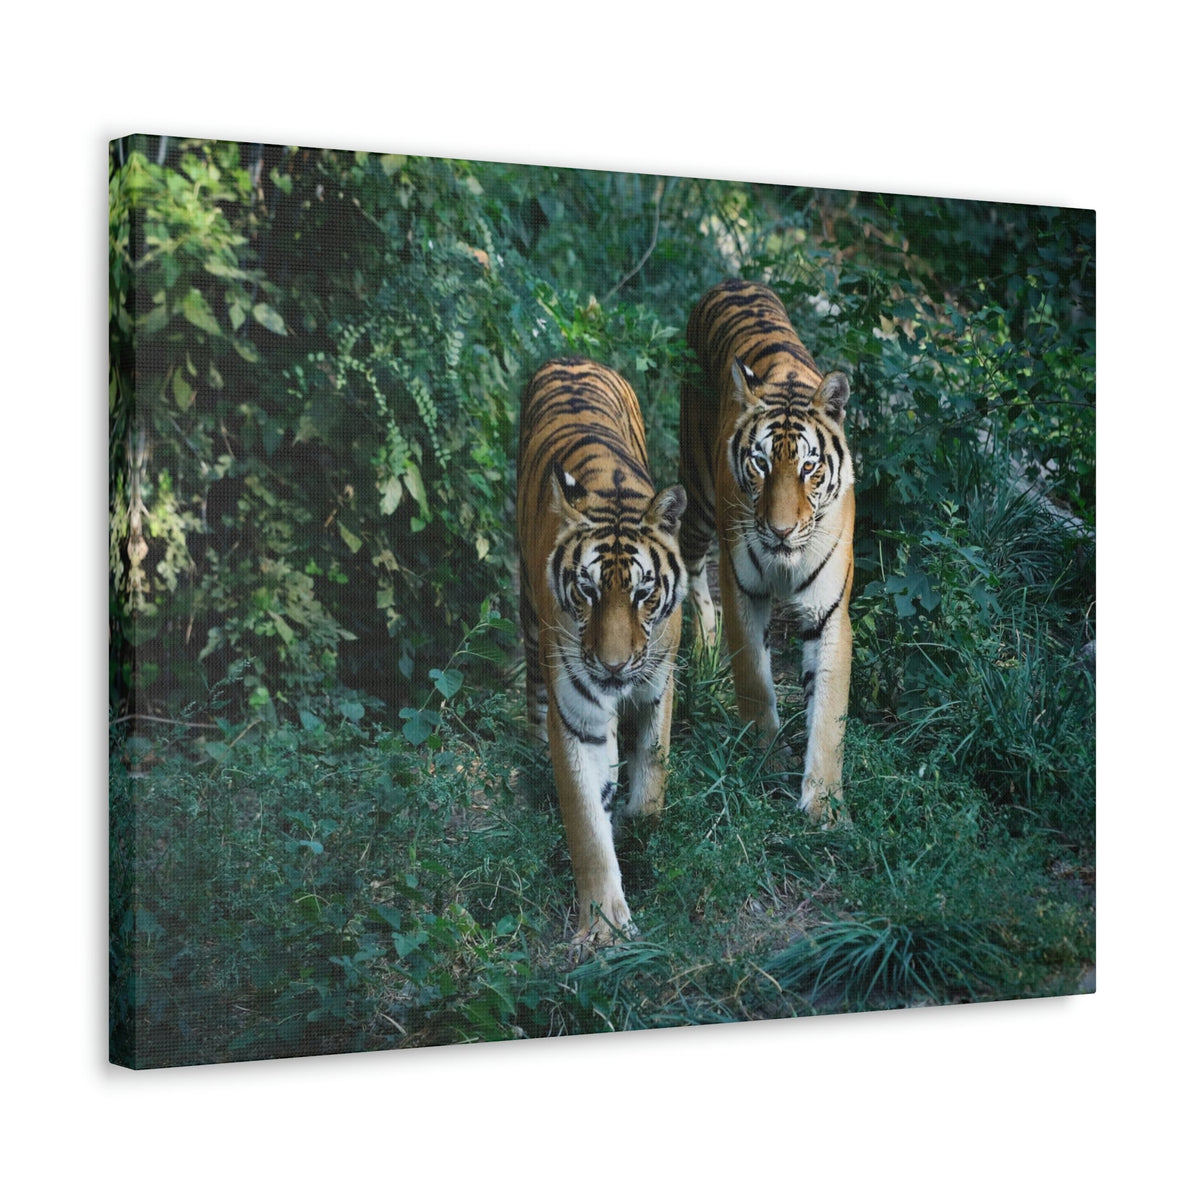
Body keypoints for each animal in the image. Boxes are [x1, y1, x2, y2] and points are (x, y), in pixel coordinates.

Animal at [517, 357, 688, 948]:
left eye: (642, 593)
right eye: (587, 590)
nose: (613, 666)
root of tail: (571, 358)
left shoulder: (660, 681)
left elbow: (652, 776)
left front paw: (640, 829)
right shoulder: (577, 716)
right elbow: (588, 826)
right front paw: (605, 927)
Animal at [678, 279, 855, 822]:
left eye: (808, 468)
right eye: (759, 464)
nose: (779, 531)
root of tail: (733, 281)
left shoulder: (829, 611)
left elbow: (828, 714)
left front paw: (823, 803)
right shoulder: (744, 591)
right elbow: (755, 681)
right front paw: (768, 759)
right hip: (698, 499)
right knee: (693, 571)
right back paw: (704, 646)